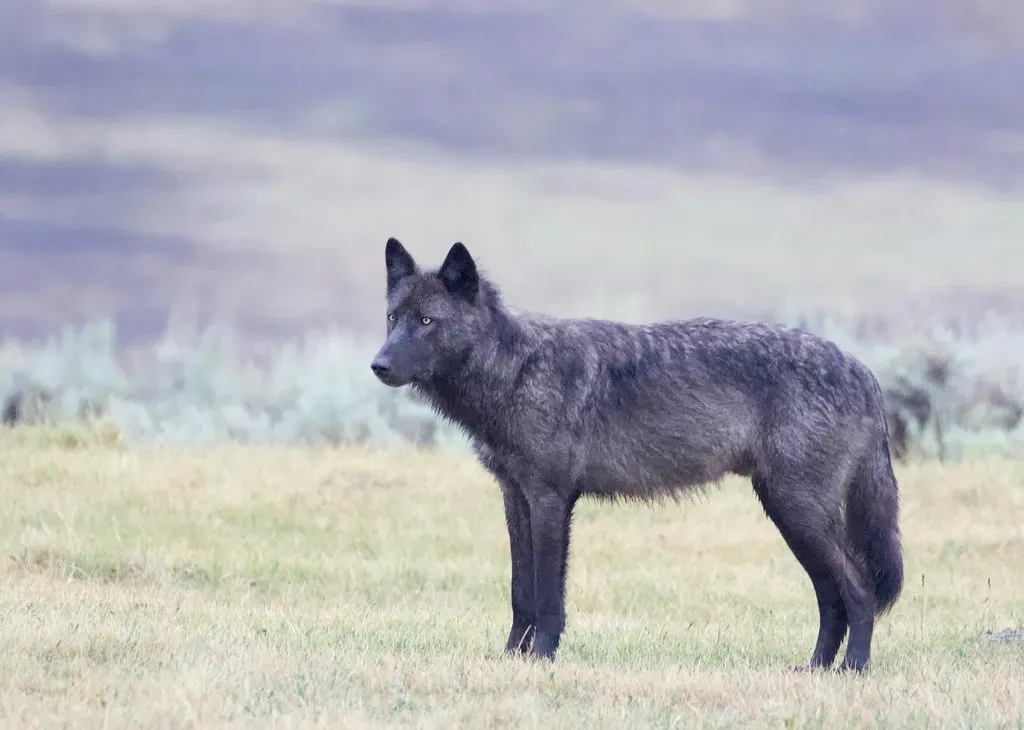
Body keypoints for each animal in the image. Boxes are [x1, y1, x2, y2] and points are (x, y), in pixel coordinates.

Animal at [370, 237, 903, 673]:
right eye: (393, 318)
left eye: (426, 321)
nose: (378, 365)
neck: (516, 371)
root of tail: (864, 371)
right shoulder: (514, 496)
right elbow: (521, 592)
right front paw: (510, 659)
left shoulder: (550, 500)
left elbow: (547, 596)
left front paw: (541, 658)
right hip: (790, 516)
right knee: (832, 598)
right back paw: (814, 669)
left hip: (798, 514)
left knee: (859, 591)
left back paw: (853, 670)